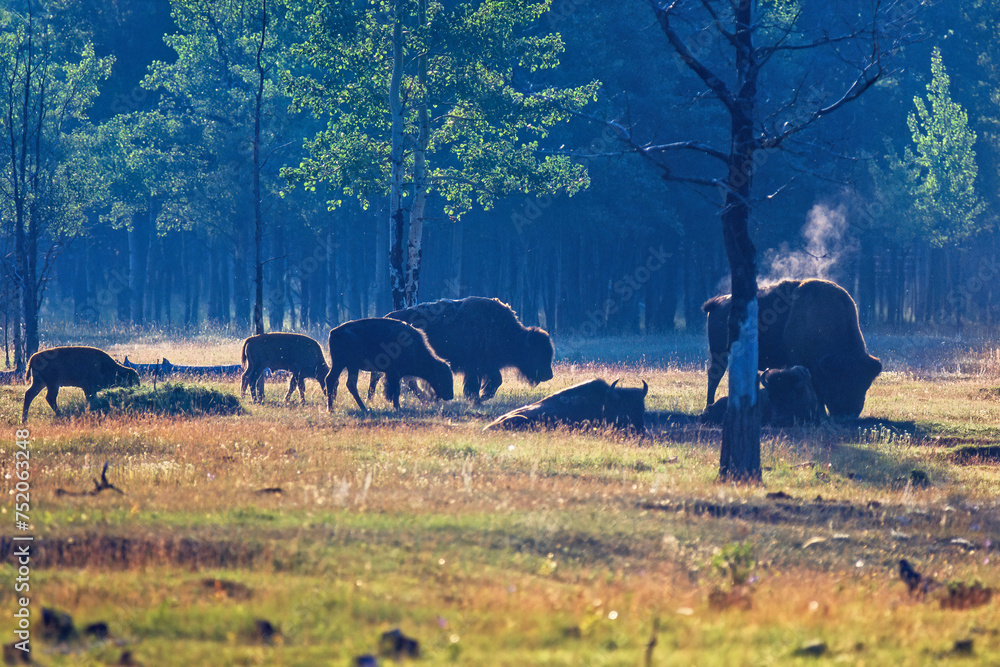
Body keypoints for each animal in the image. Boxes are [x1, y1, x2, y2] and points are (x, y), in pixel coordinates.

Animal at [326, 318, 456, 412]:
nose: (450, 395)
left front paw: (396, 406)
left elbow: (395, 390)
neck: (414, 347)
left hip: (349, 366)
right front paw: (397, 407)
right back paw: (336, 409)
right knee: (335, 380)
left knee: (345, 382)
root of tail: (333, 332)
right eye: (442, 376)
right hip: (343, 364)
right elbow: (396, 390)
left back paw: (360, 408)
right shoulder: (394, 373)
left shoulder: (394, 374)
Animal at [368, 296, 556, 402]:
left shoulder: (485, 366)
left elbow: (494, 380)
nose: (549, 375)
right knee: (382, 378)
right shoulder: (478, 366)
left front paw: (479, 397)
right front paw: (478, 397)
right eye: (536, 352)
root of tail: (387, 316)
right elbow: (491, 381)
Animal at [704, 280, 884, 418]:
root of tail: (717, 304)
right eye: (840, 380)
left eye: (865, 384)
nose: (848, 414)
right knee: (714, 377)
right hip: (720, 355)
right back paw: (708, 406)